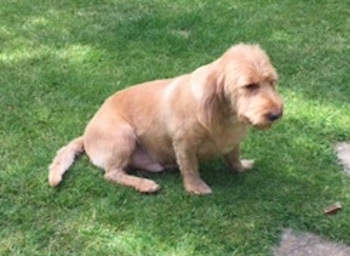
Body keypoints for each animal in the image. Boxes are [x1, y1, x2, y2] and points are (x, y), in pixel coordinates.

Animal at [49, 43, 284, 195]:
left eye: (272, 82)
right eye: (249, 86)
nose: (277, 114)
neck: (225, 115)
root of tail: (85, 136)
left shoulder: (234, 142)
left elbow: (234, 158)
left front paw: (242, 166)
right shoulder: (184, 144)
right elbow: (190, 167)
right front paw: (196, 187)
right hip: (123, 136)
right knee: (112, 174)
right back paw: (144, 184)